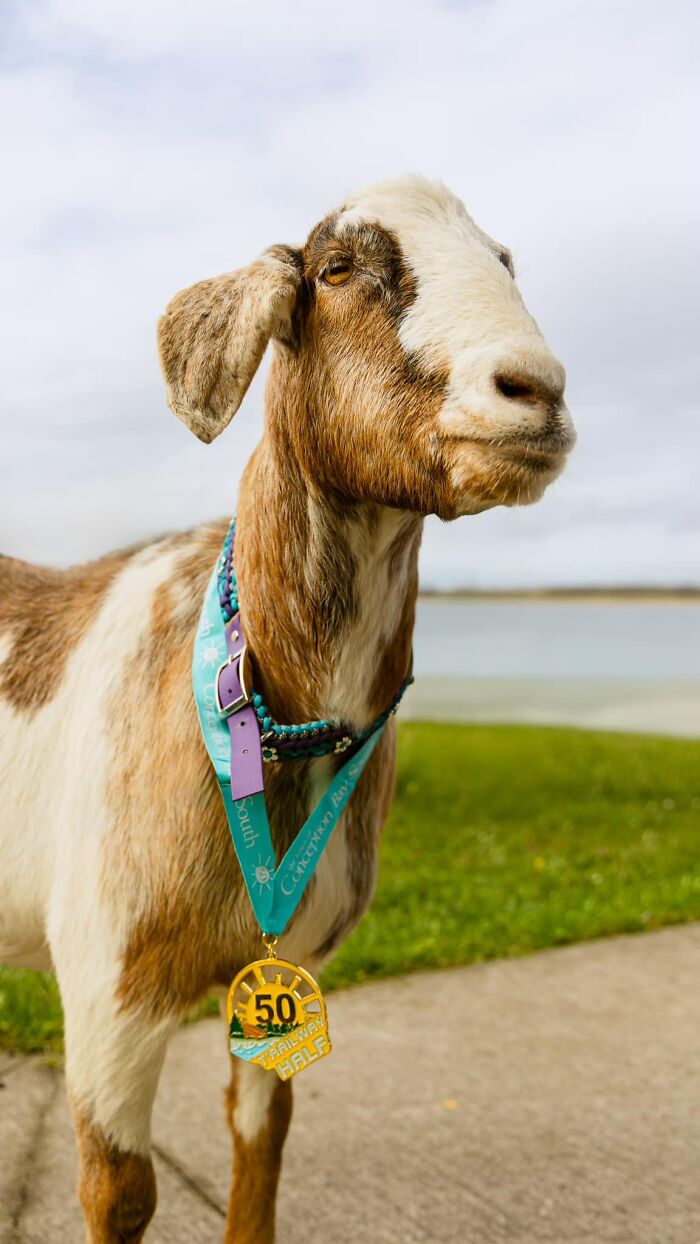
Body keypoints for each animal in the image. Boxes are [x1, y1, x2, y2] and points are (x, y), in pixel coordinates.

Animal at [0, 177, 574, 1244]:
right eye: (336, 269)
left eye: (504, 260)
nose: (537, 391)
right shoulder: (107, 990)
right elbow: (119, 1194)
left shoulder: (292, 967)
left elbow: (260, 1144)